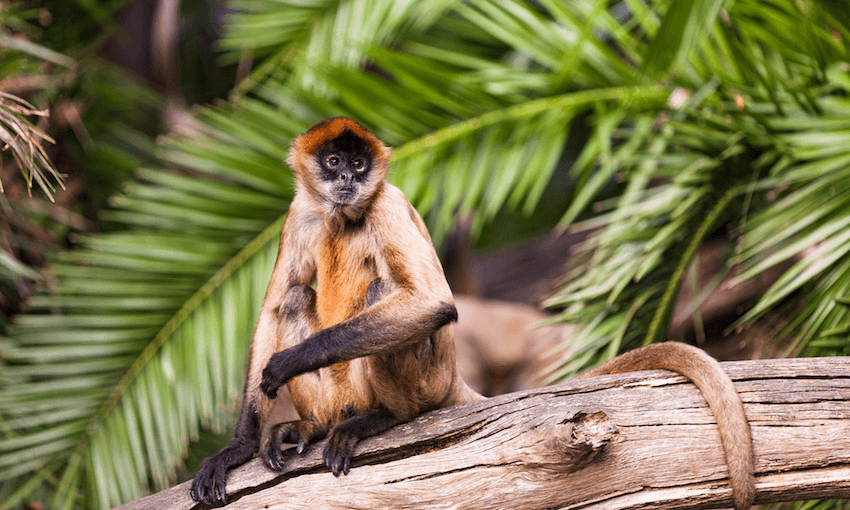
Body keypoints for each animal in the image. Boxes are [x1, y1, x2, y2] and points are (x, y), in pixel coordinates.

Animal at [190, 117, 754, 510]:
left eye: (359, 166)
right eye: (332, 162)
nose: (349, 177)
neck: (343, 214)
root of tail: (452, 375)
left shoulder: (386, 200)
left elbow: (433, 303)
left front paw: (285, 365)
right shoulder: (301, 211)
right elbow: (271, 309)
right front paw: (237, 447)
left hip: (426, 377)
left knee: (382, 294)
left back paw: (383, 418)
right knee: (293, 298)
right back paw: (312, 427)